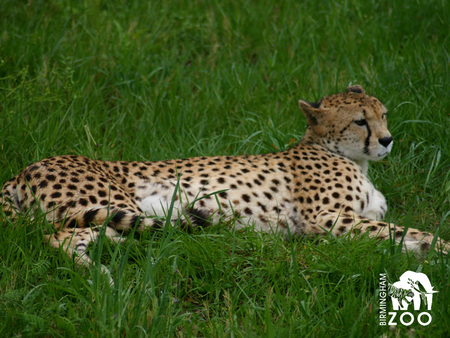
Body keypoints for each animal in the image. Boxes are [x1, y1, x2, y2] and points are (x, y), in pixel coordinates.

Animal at [1, 85, 448, 266]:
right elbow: (409, 231)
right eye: (360, 121)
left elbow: (396, 234)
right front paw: (439, 249)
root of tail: (23, 170)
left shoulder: (349, 222)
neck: (348, 156)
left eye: (383, 114)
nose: (387, 140)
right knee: (59, 237)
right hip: (114, 205)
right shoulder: (328, 220)